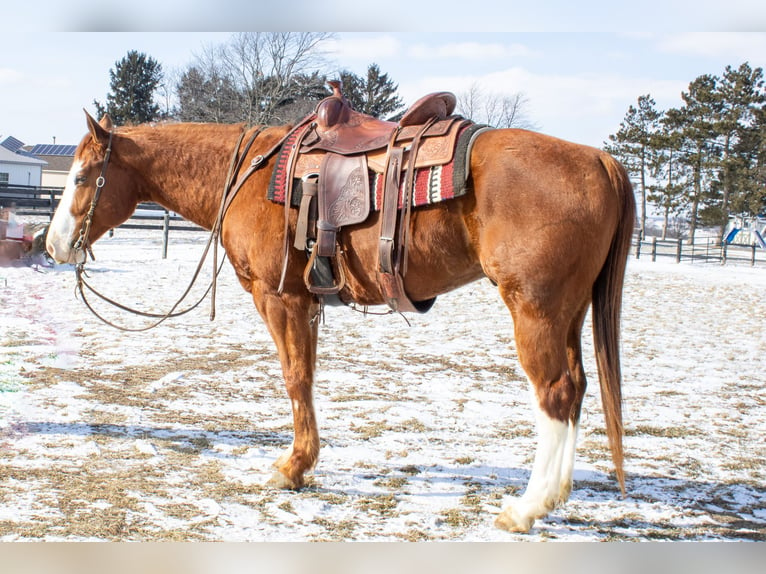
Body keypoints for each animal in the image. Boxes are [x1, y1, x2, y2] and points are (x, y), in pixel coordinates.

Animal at [46, 109, 636, 536]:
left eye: (82, 176)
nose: (52, 245)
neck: (251, 176)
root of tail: (599, 160)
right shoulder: (304, 302)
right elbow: (305, 376)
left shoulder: (280, 298)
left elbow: (295, 378)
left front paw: (292, 467)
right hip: (568, 313)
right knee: (578, 387)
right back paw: (555, 496)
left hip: (535, 310)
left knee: (555, 393)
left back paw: (526, 509)